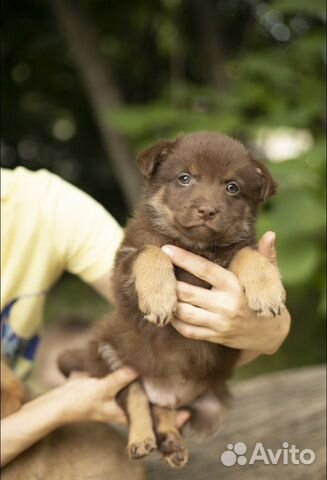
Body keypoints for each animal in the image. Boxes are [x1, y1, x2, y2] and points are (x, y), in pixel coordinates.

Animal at [59, 131, 288, 468]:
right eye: (184, 178)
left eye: (232, 187)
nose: (207, 211)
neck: (194, 245)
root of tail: (165, 389)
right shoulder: (124, 270)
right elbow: (152, 251)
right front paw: (159, 298)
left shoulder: (232, 252)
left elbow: (247, 253)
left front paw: (267, 288)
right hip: (111, 356)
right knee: (137, 397)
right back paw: (142, 439)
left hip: (209, 408)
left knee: (163, 409)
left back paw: (171, 441)